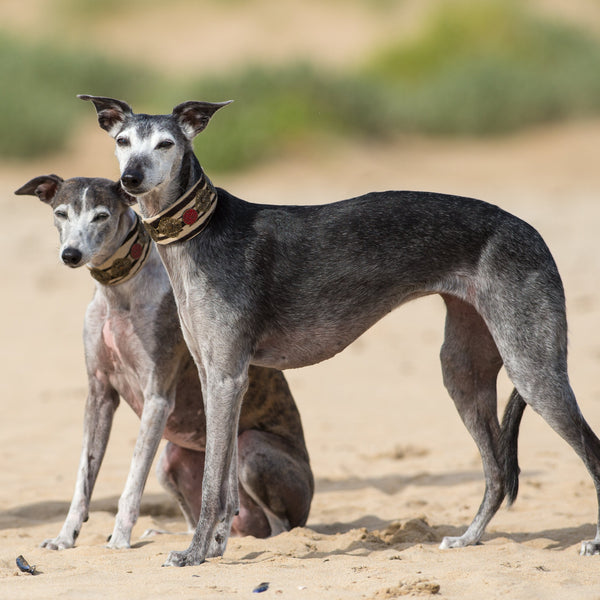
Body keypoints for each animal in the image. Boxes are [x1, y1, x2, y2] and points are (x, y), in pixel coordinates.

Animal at [14, 173, 314, 552]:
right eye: (61, 213)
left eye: (101, 216)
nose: (71, 255)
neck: (121, 291)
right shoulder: (99, 394)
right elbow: (83, 479)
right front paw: (64, 538)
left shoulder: (157, 396)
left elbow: (132, 481)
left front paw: (119, 539)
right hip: (170, 461)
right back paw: (168, 534)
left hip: (252, 451)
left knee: (281, 527)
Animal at [81, 95, 600, 568]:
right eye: (122, 142)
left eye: (166, 143)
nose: (130, 180)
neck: (201, 231)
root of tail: (530, 231)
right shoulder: (216, 376)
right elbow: (223, 481)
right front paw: (213, 548)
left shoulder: (228, 376)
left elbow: (212, 484)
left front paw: (193, 554)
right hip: (463, 370)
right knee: (496, 472)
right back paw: (468, 539)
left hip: (532, 368)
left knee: (587, 451)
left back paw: (592, 543)